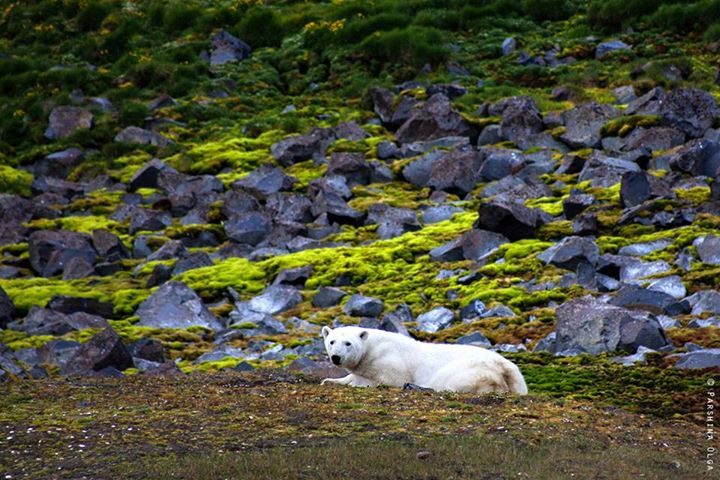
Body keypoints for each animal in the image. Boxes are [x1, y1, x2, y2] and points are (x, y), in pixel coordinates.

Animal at [320, 324, 528, 396]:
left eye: (348, 343)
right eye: (331, 341)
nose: (336, 357)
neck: (371, 347)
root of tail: (507, 369)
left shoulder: (390, 361)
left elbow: (387, 379)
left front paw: (358, 383)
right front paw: (329, 380)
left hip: (472, 369)